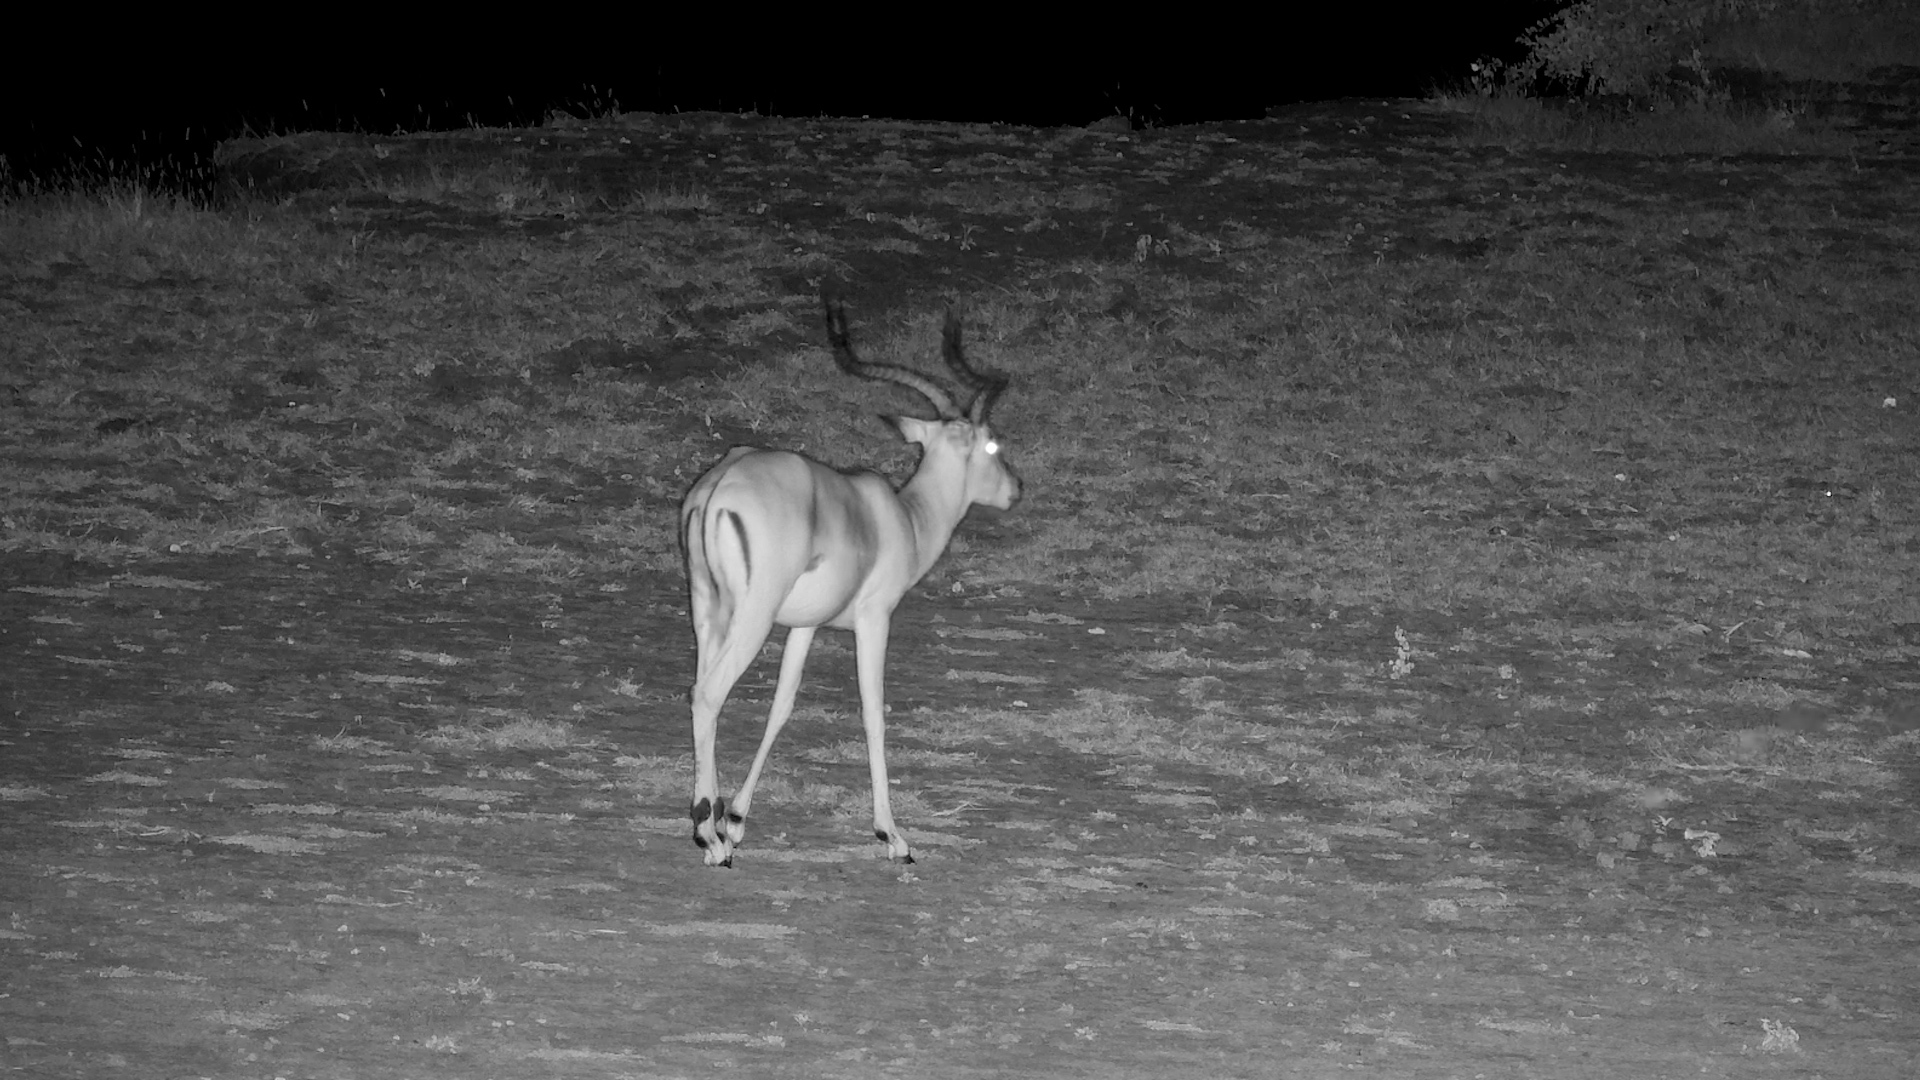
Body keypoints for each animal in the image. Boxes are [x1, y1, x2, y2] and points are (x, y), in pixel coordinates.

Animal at [678, 296, 1020, 866]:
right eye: (992, 446)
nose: (1016, 489)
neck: (905, 519)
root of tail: (719, 485)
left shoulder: (805, 626)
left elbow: (782, 705)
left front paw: (740, 819)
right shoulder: (874, 618)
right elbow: (873, 713)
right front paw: (893, 836)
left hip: (708, 610)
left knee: (700, 688)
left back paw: (715, 831)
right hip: (751, 618)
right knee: (708, 695)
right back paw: (709, 837)